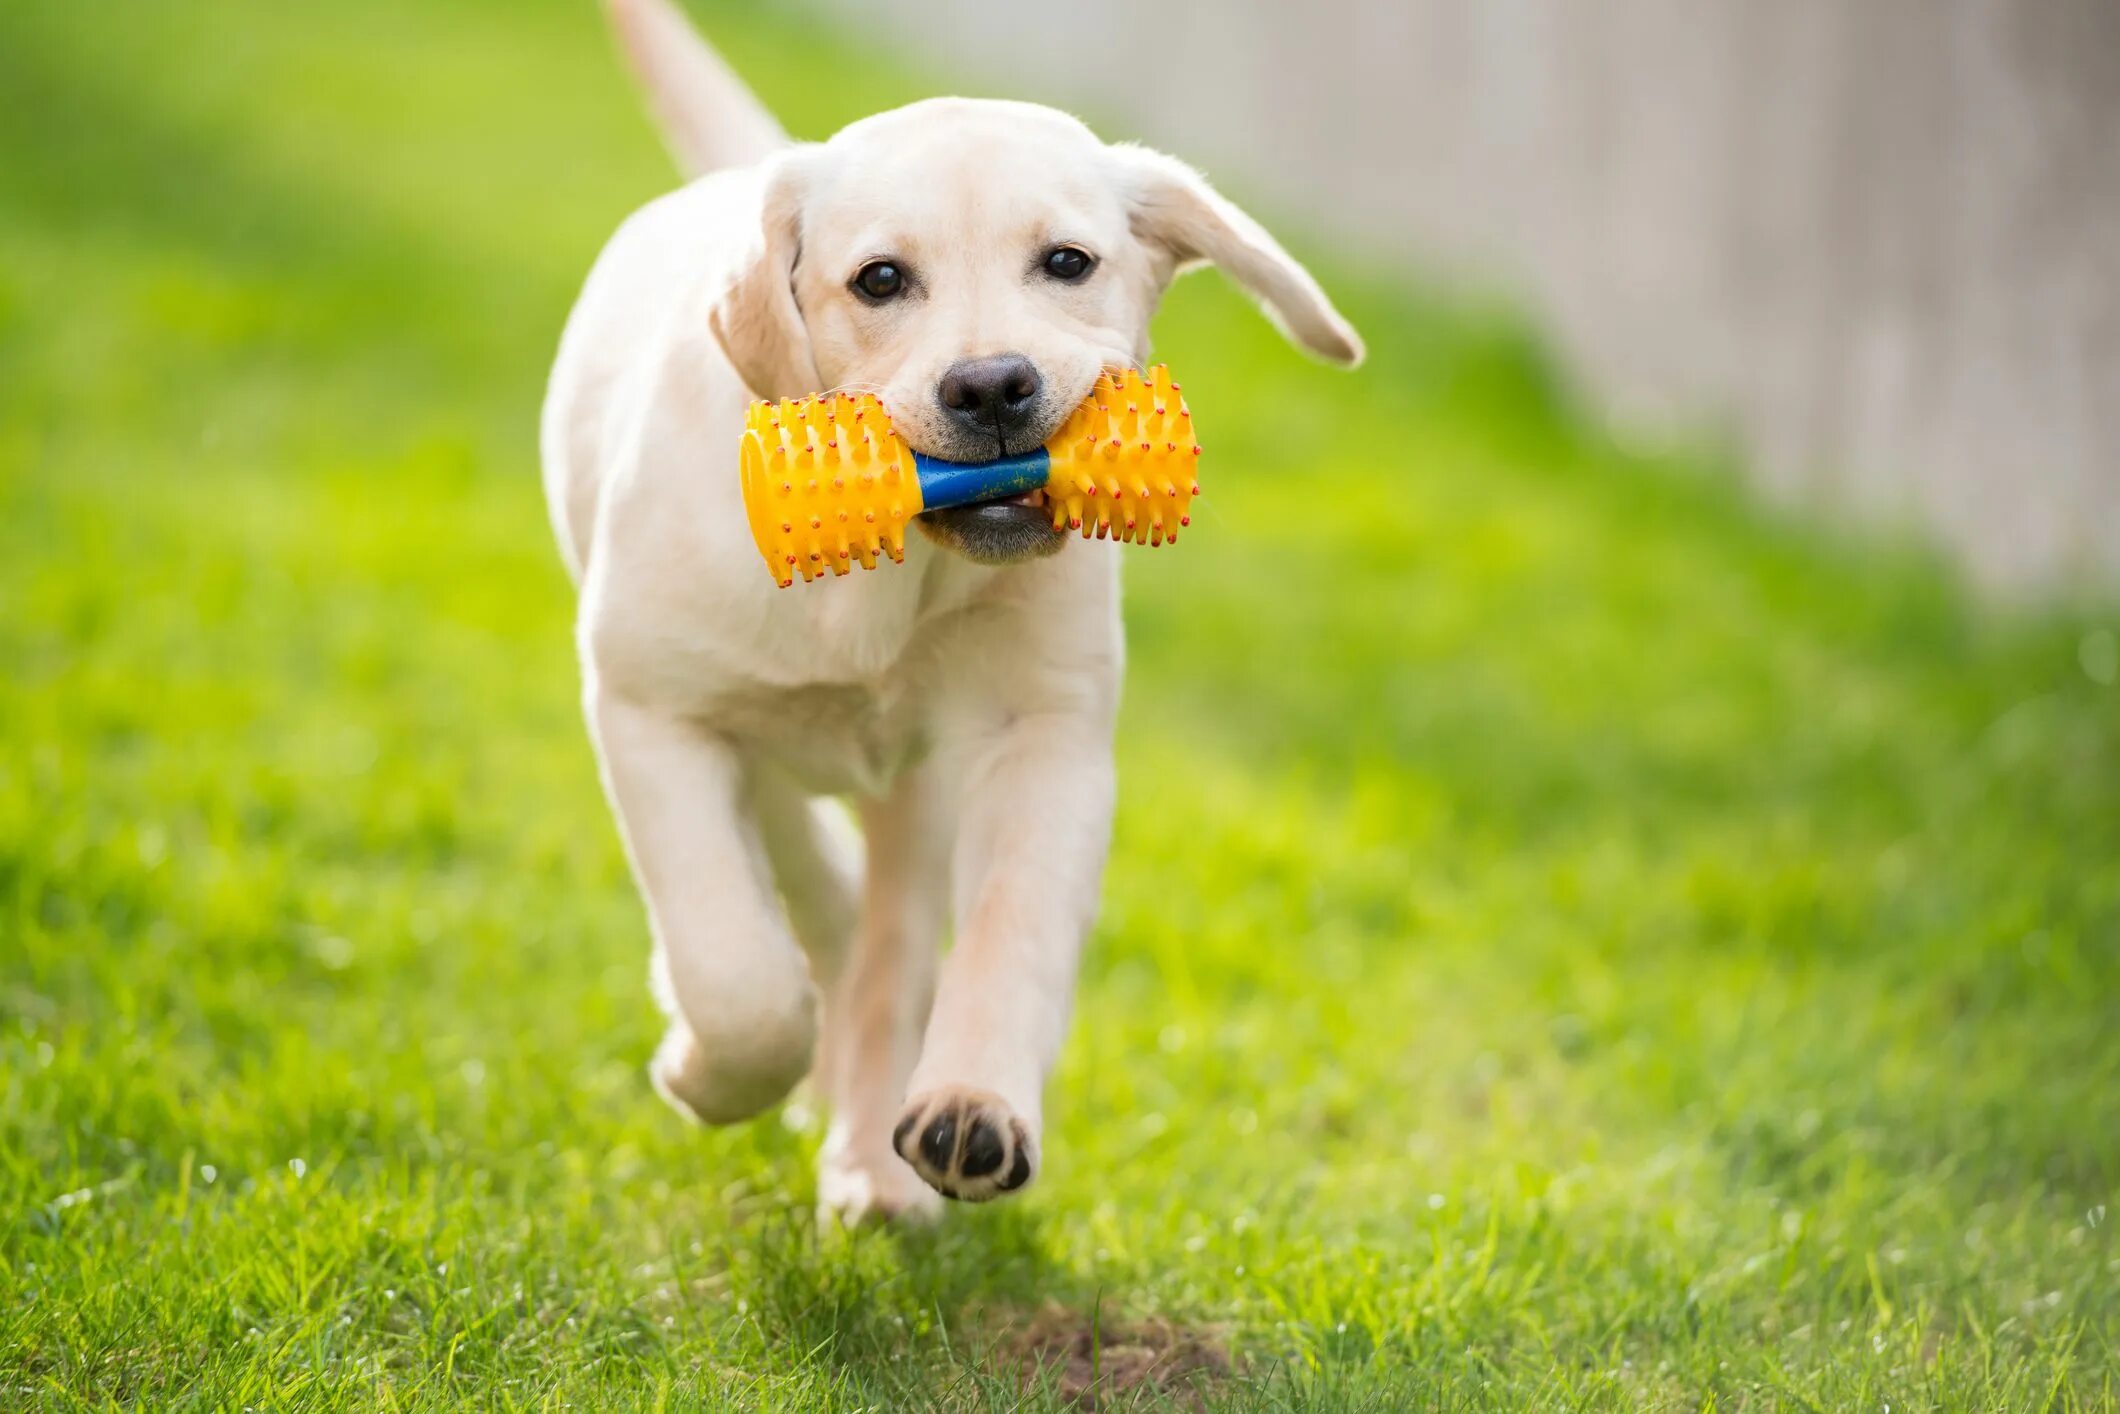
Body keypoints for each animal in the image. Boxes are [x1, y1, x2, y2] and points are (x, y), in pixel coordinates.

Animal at [542, 0, 1356, 1221]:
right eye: (879, 281)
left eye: (1067, 263)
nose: (992, 387)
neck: (891, 574)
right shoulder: (650, 710)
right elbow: (736, 972)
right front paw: (701, 1070)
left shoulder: (1046, 737)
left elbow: (1010, 934)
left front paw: (972, 1108)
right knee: (805, 883)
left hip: (917, 790)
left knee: (884, 942)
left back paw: (874, 1164)